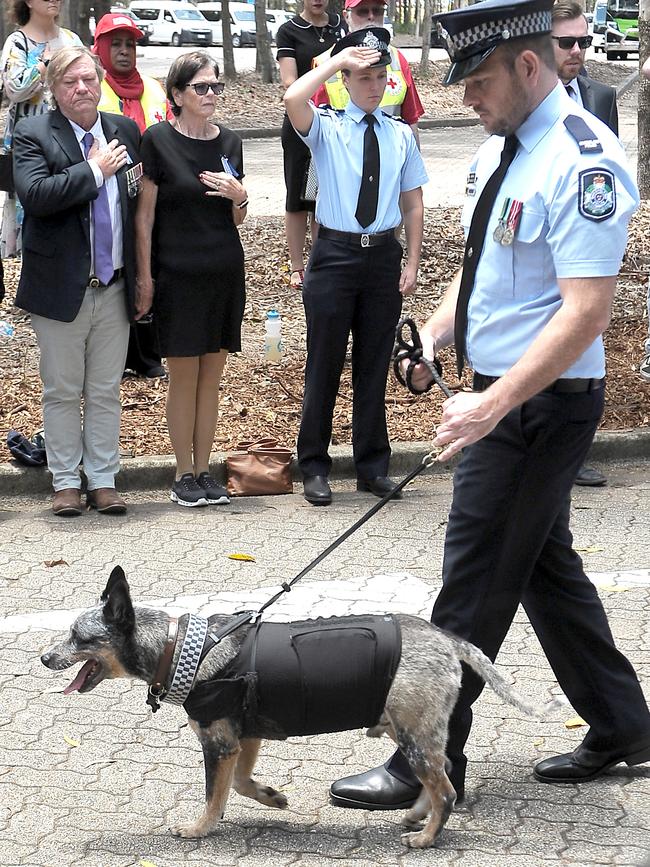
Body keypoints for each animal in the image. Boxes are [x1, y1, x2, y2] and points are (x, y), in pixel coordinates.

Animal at [282, 28, 426, 508]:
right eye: (365, 75)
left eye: (380, 76)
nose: (376, 84)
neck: (365, 121)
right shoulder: (308, 119)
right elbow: (296, 99)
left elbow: (411, 200)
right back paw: (315, 477)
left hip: (378, 304)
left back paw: (375, 476)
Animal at [330, 0, 648, 812]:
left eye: (481, 76)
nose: (469, 100)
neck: (530, 134)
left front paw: (401, 773)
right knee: (552, 566)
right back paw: (611, 741)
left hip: (533, 451)